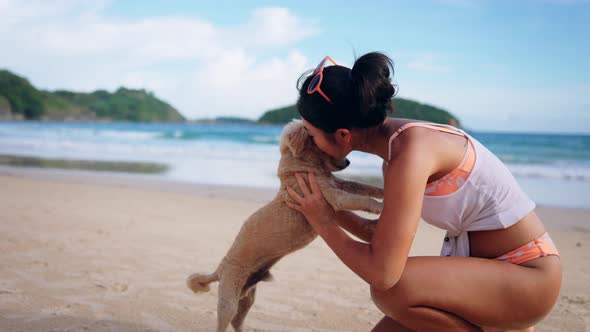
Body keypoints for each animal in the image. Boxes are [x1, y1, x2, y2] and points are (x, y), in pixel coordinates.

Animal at [187, 120, 386, 330]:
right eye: (325, 145)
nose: (348, 162)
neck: (304, 165)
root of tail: (219, 269)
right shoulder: (335, 196)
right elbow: (361, 199)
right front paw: (379, 207)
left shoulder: (339, 184)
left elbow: (363, 187)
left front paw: (383, 191)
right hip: (229, 301)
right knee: (224, 323)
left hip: (248, 299)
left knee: (237, 322)